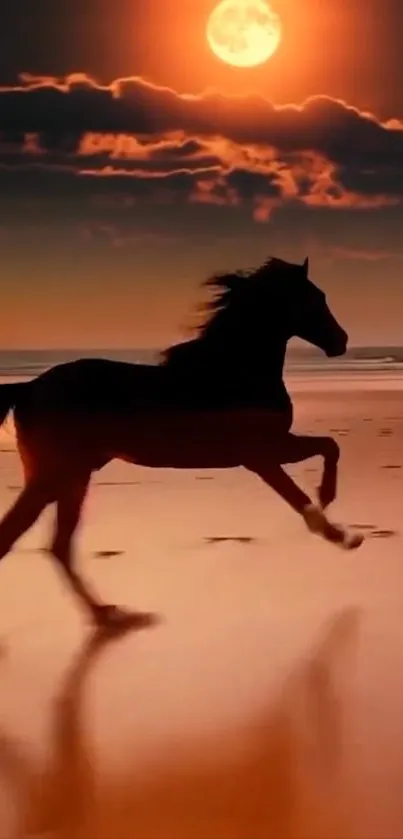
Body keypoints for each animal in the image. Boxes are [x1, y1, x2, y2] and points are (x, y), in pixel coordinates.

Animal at [0, 260, 362, 628]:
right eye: (314, 298)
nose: (341, 341)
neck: (236, 373)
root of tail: (27, 388)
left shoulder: (268, 451)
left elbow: (326, 451)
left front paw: (337, 523)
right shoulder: (263, 453)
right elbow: (313, 470)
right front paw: (335, 522)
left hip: (72, 477)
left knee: (57, 544)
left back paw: (109, 614)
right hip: (56, 476)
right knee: (22, 536)